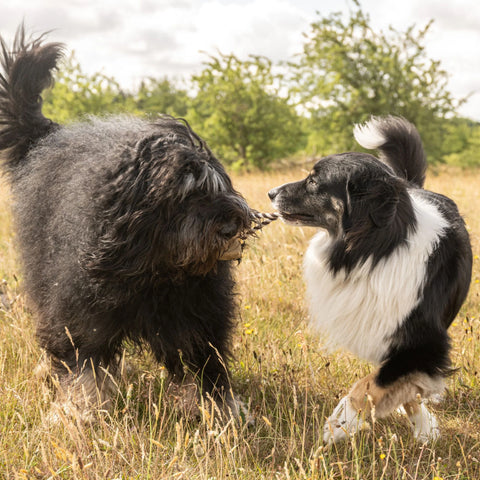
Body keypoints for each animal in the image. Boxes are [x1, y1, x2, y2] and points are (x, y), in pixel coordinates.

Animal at [0, 27, 255, 420]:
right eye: (186, 194)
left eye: (217, 186)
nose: (232, 224)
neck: (155, 268)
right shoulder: (81, 308)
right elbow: (83, 362)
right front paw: (83, 411)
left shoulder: (200, 310)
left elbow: (207, 363)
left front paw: (222, 410)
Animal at [270, 115, 472, 442]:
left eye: (314, 181)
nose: (270, 193)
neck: (376, 249)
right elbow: (386, 383)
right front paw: (422, 425)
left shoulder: (424, 341)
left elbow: (369, 384)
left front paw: (340, 423)